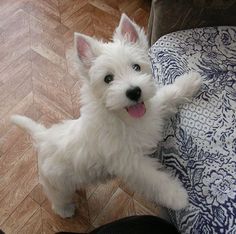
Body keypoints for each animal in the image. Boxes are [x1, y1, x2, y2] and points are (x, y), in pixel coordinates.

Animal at [11, 14, 202, 218]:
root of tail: (43, 136)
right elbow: (155, 179)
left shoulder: (154, 110)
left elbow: (167, 95)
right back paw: (66, 211)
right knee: (58, 199)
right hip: (57, 185)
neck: (123, 117)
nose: (134, 92)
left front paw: (190, 81)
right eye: (108, 79)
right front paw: (177, 196)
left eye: (136, 67)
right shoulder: (131, 163)